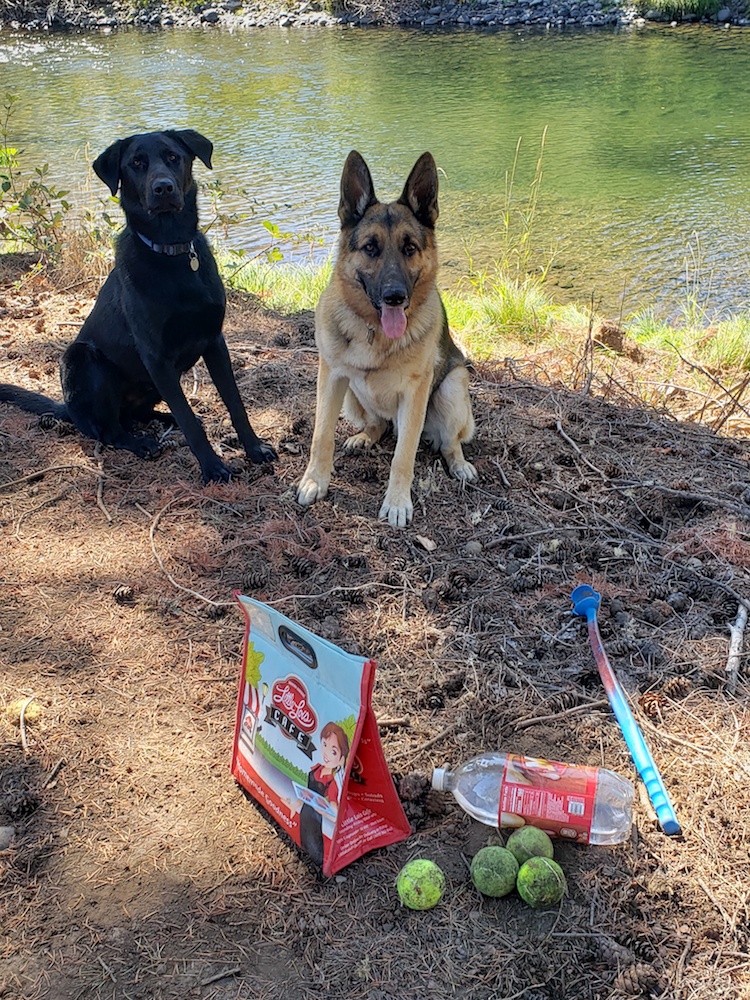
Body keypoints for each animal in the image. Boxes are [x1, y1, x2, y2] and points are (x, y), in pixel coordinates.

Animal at [0, 130, 278, 484]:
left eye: (173, 156)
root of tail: (68, 409)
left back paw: (163, 419)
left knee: (143, 413)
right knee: (108, 430)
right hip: (80, 358)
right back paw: (140, 443)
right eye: (136, 163)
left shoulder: (215, 342)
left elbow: (235, 404)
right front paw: (212, 466)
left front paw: (255, 449)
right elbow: (188, 419)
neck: (171, 251)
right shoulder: (156, 357)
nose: (163, 188)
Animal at [298, 152, 478, 528]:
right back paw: (365, 436)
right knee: (378, 424)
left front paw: (397, 502)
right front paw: (314, 481)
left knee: (449, 443)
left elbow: (403, 456)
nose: (395, 296)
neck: (374, 331)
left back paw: (459, 465)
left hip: (453, 387)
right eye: (371, 247)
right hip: (352, 396)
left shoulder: (416, 393)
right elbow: (321, 436)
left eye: (410, 248)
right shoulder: (330, 377)